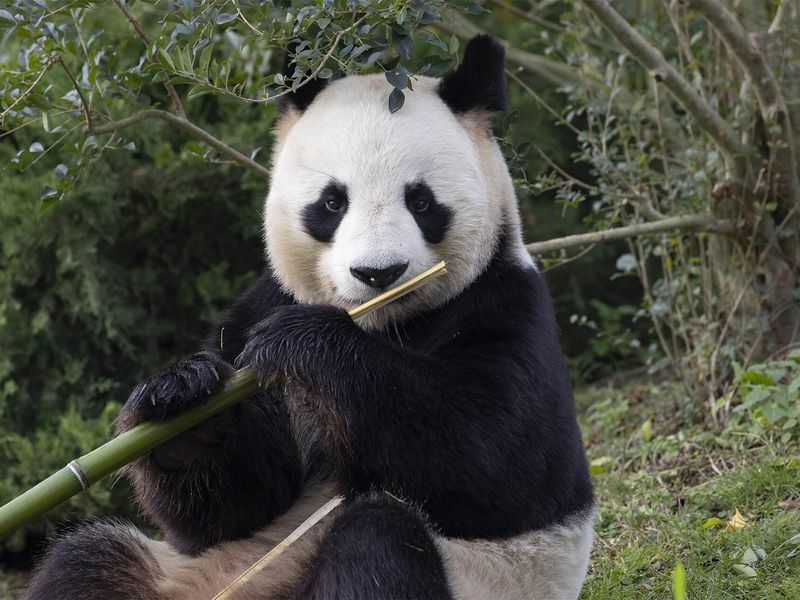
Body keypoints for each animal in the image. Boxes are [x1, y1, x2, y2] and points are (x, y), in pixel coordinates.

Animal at [28, 35, 593, 600]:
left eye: (421, 201)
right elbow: (229, 509)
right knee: (89, 559)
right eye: (332, 202)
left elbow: (500, 462)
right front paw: (180, 393)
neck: (381, 322)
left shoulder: (504, 303)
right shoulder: (257, 308)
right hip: (188, 575)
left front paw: (307, 342)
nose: (378, 273)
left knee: (379, 541)